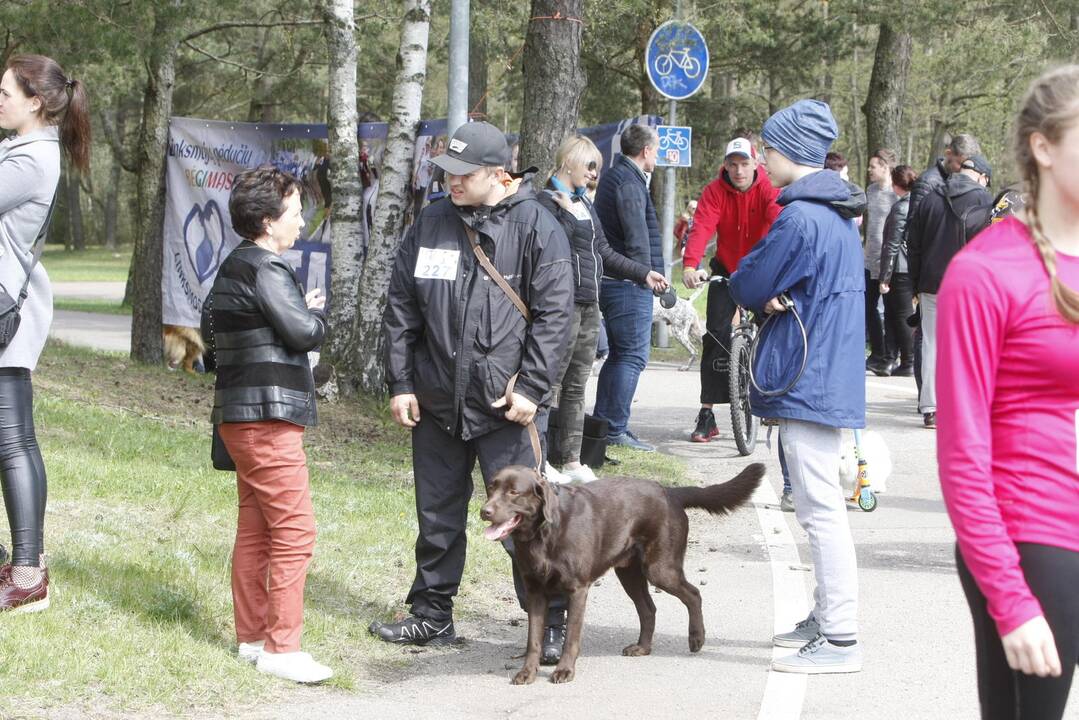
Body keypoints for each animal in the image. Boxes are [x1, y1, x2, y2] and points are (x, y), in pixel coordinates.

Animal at [481, 464, 768, 686]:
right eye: (491, 488)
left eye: (514, 492)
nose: (484, 511)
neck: (543, 533)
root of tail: (669, 491)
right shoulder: (535, 592)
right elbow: (533, 640)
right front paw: (527, 673)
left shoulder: (578, 589)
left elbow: (571, 636)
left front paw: (565, 670)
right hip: (629, 573)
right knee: (648, 608)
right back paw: (643, 648)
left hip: (660, 569)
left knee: (693, 594)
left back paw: (696, 638)